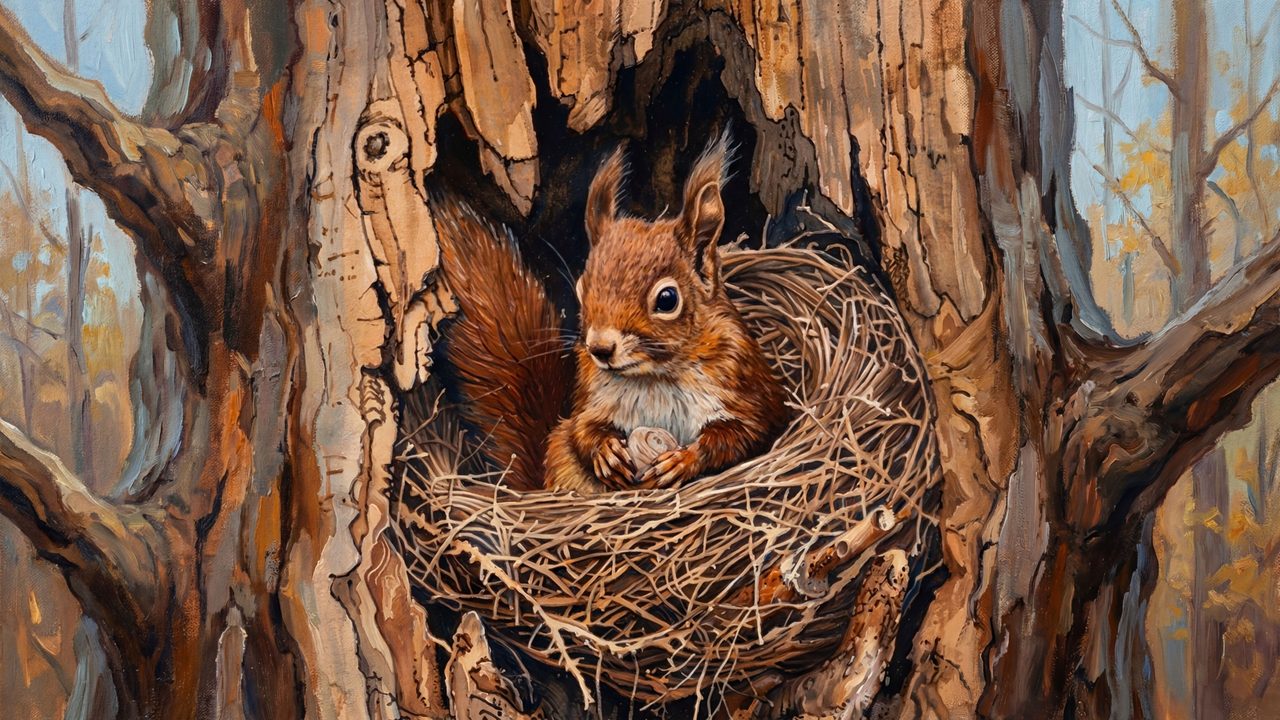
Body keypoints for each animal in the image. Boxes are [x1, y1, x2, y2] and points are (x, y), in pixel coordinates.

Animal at [434, 131, 789, 493]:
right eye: (580, 288)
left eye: (667, 299)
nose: (600, 349)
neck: (654, 376)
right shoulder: (589, 399)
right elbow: (581, 429)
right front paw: (605, 452)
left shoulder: (746, 387)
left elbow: (745, 434)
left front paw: (684, 459)